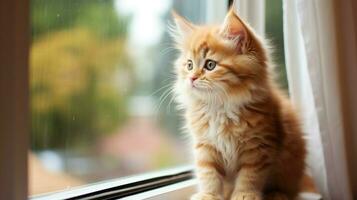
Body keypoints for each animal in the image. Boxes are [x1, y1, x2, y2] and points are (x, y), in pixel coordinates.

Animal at [170, 7, 306, 200]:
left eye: (210, 65)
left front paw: (244, 195)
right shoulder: (206, 147)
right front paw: (208, 195)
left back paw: (276, 194)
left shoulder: (258, 148)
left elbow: (249, 176)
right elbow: (208, 174)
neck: (220, 107)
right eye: (189, 65)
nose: (192, 78)